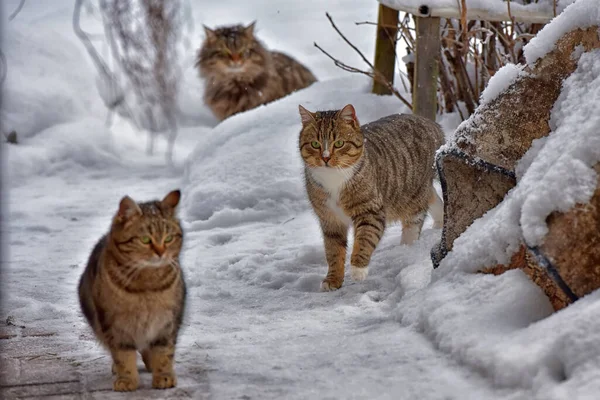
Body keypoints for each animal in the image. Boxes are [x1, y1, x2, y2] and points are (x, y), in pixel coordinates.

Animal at [78, 190, 185, 390]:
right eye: (145, 240)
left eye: (168, 238)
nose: (161, 252)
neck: (147, 286)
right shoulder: (114, 323)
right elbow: (123, 355)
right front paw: (127, 379)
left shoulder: (167, 322)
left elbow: (164, 352)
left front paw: (164, 375)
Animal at [300, 104, 446, 290]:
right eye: (314, 144)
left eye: (339, 143)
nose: (325, 157)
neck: (333, 179)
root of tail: (432, 124)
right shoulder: (329, 219)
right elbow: (333, 251)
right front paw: (333, 279)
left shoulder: (370, 211)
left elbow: (365, 238)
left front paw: (358, 269)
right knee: (433, 198)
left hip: (414, 193)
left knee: (414, 221)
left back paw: (406, 248)